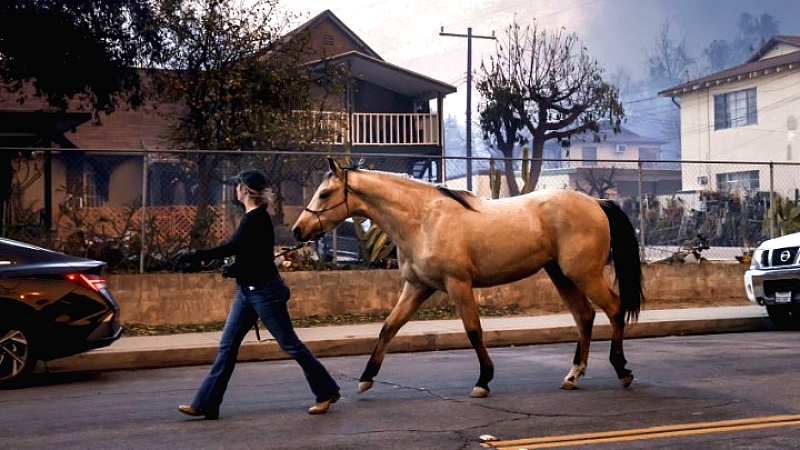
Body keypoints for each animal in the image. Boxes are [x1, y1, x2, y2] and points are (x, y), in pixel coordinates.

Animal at [294, 157, 644, 398]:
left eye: (324, 194)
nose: (299, 230)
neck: (423, 220)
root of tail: (596, 202)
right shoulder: (417, 287)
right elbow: (388, 327)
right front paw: (366, 377)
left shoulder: (457, 284)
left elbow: (473, 331)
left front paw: (483, 380)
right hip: (562, 275)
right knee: (584, 316)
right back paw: (573, 375)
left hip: (583, 273)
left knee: (614, 308)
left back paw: (622, 369)